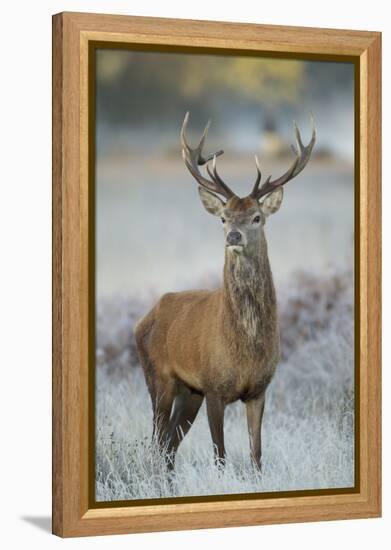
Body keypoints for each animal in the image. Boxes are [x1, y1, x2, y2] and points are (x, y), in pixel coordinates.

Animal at [135, 111, 316, 470]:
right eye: (223, 217)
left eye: (257, 217)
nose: (233, 235)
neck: (244, 350)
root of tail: (145, 317)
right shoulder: (213, 387)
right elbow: (220, 455)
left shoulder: (259, 389)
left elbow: (256, 455)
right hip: (158, 376)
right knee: (157, 440)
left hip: (189, 392)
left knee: (169, 444)